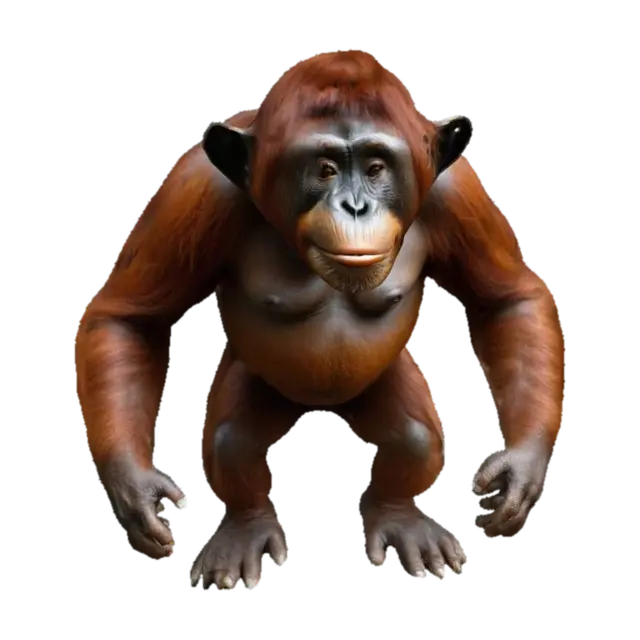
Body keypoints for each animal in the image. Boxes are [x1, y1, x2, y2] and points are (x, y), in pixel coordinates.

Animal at [74, 49, 565, 590]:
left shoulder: (458, 193)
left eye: (375, 167)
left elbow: (505, 298)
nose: (355, 205)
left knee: (414, 439)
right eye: (325, 168)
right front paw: (134, 488)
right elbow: (132, 317)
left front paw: (520, 468)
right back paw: (248, 530)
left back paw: (399, 519)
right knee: (233, 441)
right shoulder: (194, 189)